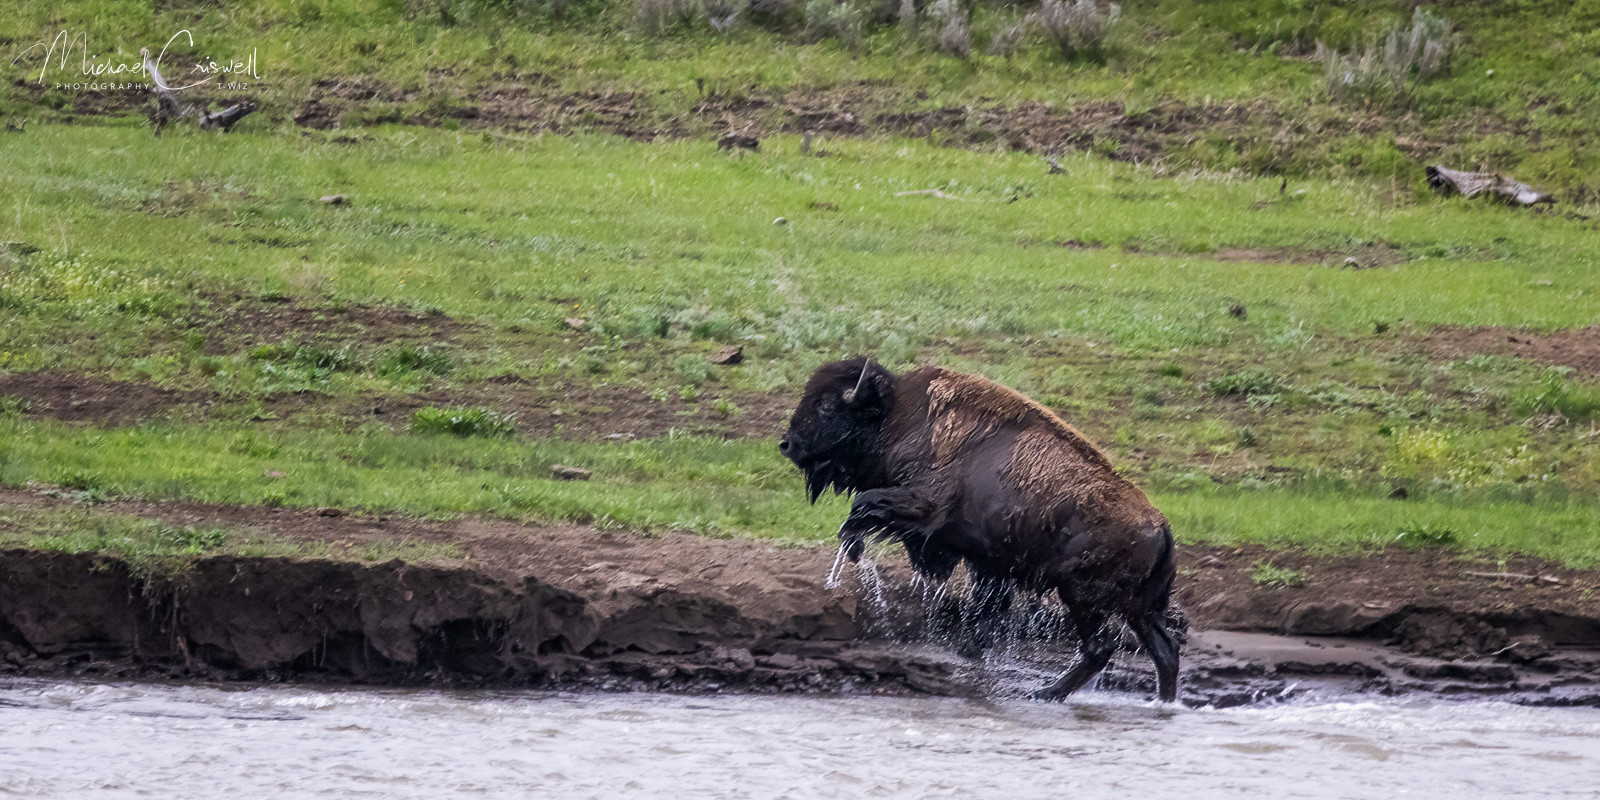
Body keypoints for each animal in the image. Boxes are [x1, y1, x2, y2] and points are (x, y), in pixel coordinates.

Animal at [781, 357, 1179, 702]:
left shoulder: (922, 505)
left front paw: (853, 546)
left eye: (827, 407)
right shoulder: (988, 562)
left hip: (1084, 597)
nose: (787, 444)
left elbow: (863, 506)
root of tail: (1161, 526)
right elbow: (985, 611)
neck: (895, 415)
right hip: (1139, 607)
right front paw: (970, 648)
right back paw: (1160, 703)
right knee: (1165, 650)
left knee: (1100, 647)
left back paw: (1044, 694)